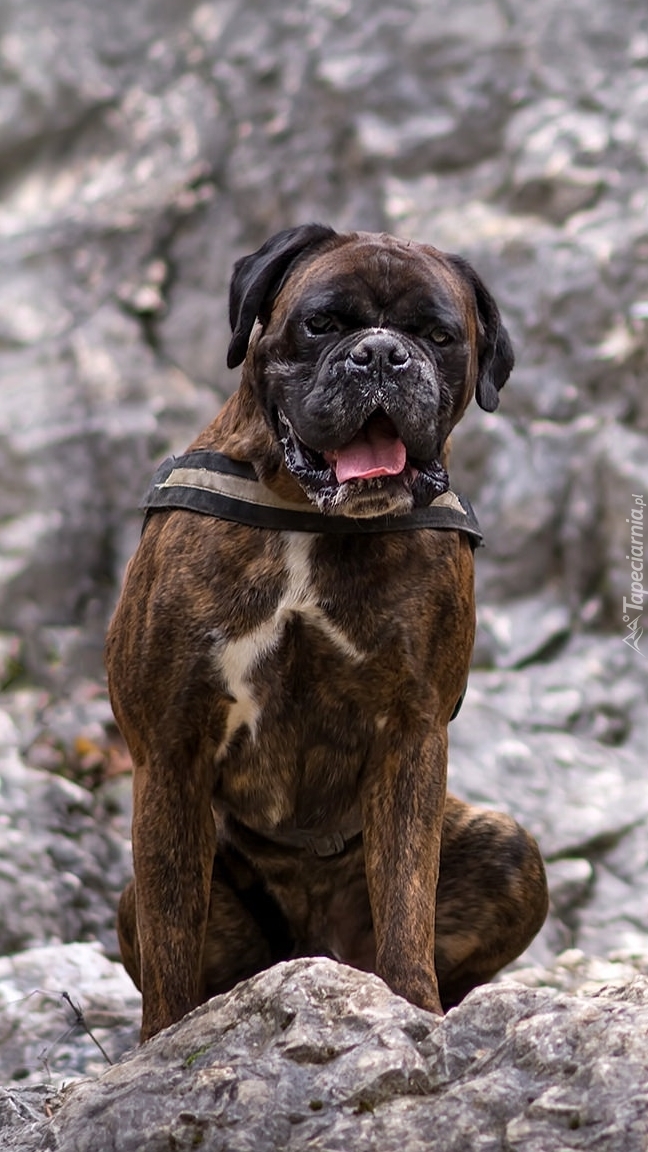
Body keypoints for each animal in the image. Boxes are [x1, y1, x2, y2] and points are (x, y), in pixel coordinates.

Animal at [106, 224, 548, 1042]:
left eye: (438, 336)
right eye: (322, 323)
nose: (381, 355)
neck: (310, 519)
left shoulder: (412, 733)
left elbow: (405, 898)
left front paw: (413, 1012)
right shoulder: (169, 750)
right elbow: (171, 934)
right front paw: (163, 1043)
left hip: (507, 849)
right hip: (143, 897)